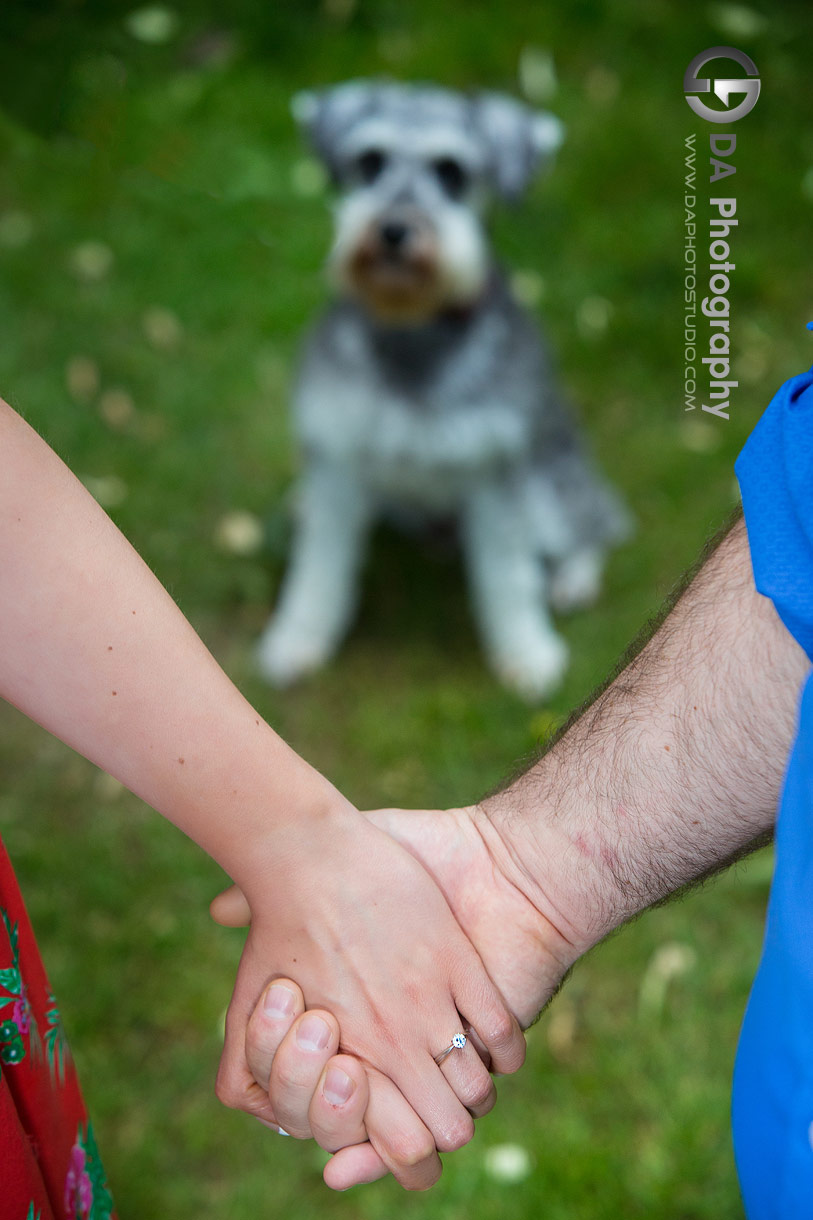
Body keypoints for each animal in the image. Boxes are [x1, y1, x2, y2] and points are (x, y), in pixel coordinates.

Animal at [256, 81, 622, 697]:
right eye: (370, 162)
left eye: (452, 171)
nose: (394, 230)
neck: (411, 328)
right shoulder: (337, 461)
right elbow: (320, 567)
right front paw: (298, 640)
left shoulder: (496, 472)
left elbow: (508, 576)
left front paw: (527, 653)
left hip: (549, 489)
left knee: (594, 521)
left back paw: (575, 578)